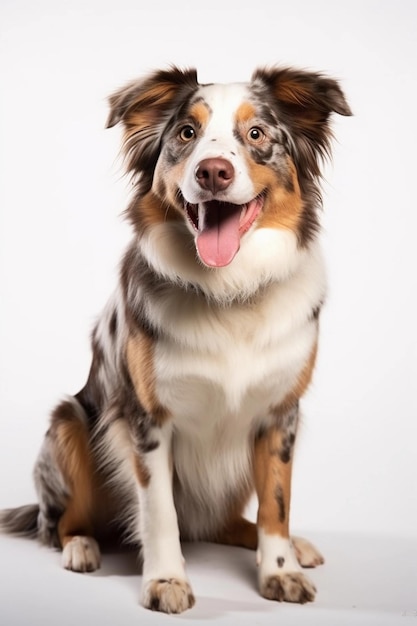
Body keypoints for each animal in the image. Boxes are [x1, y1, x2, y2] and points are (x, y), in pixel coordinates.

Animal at [0, 66, 352, 612]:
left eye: (256, 135)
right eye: (187, 134)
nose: (212, 172)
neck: (230, 293)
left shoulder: (280, 416)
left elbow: (277, 503)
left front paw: (281, 570)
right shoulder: (147, 419)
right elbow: (160, 510)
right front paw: (165, 581)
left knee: (225, 523)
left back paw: (296, 546)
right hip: (69, 424)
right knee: (59, 522)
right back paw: (81, 545)